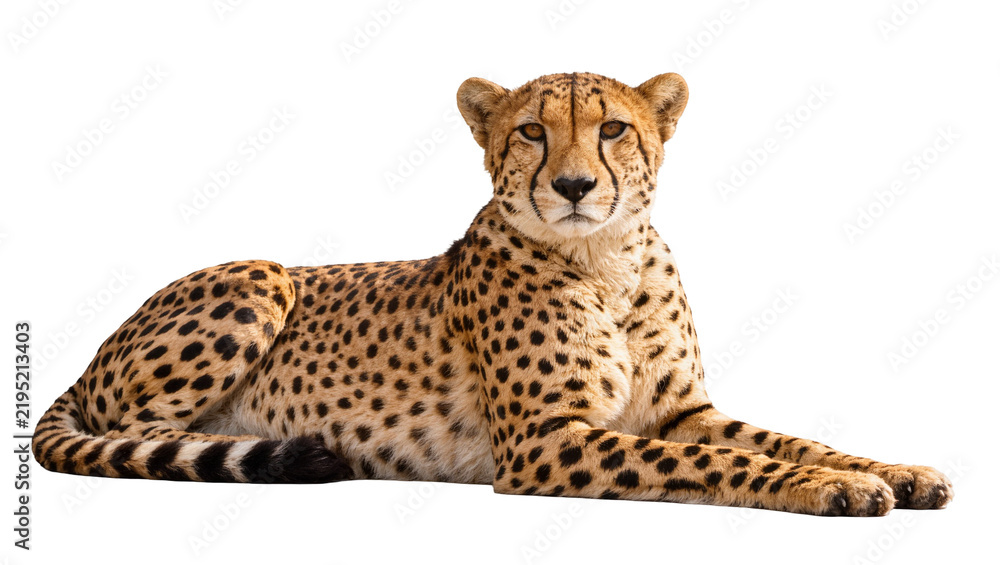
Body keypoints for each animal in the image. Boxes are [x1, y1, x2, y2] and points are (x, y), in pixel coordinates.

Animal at [32, 71, 953, 516]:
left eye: (613, 128)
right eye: (532, 131)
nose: (576, 185)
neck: (605, 258)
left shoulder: (680, 408)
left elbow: (790, 437)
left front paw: (890, 470)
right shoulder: (548, 439)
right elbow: (722, 460)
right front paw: (827, 489)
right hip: (257, 273)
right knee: (139, 435)